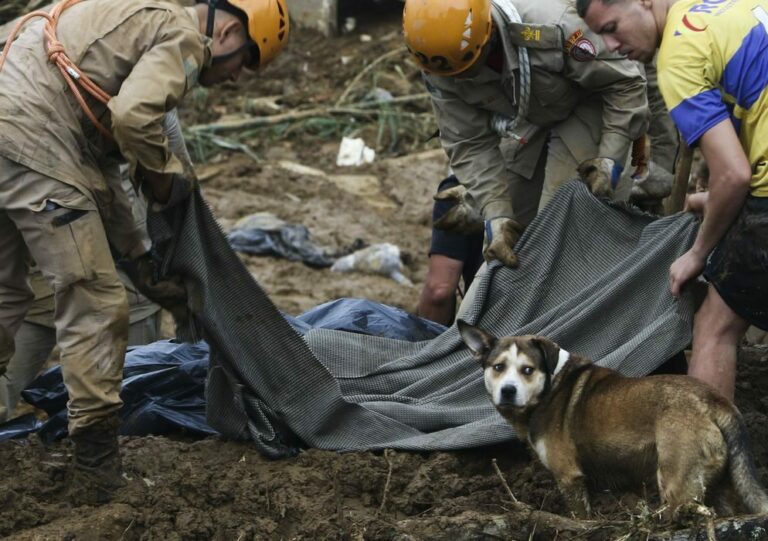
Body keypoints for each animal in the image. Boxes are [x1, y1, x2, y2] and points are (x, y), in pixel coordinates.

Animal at [456, 318, 768, 516]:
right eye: (498, 367)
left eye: (528, 370)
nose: (508, 391)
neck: (551, 385)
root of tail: (714, 400)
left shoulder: (569, 477)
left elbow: (581, 517)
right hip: (720, 483)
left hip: (677, 484)